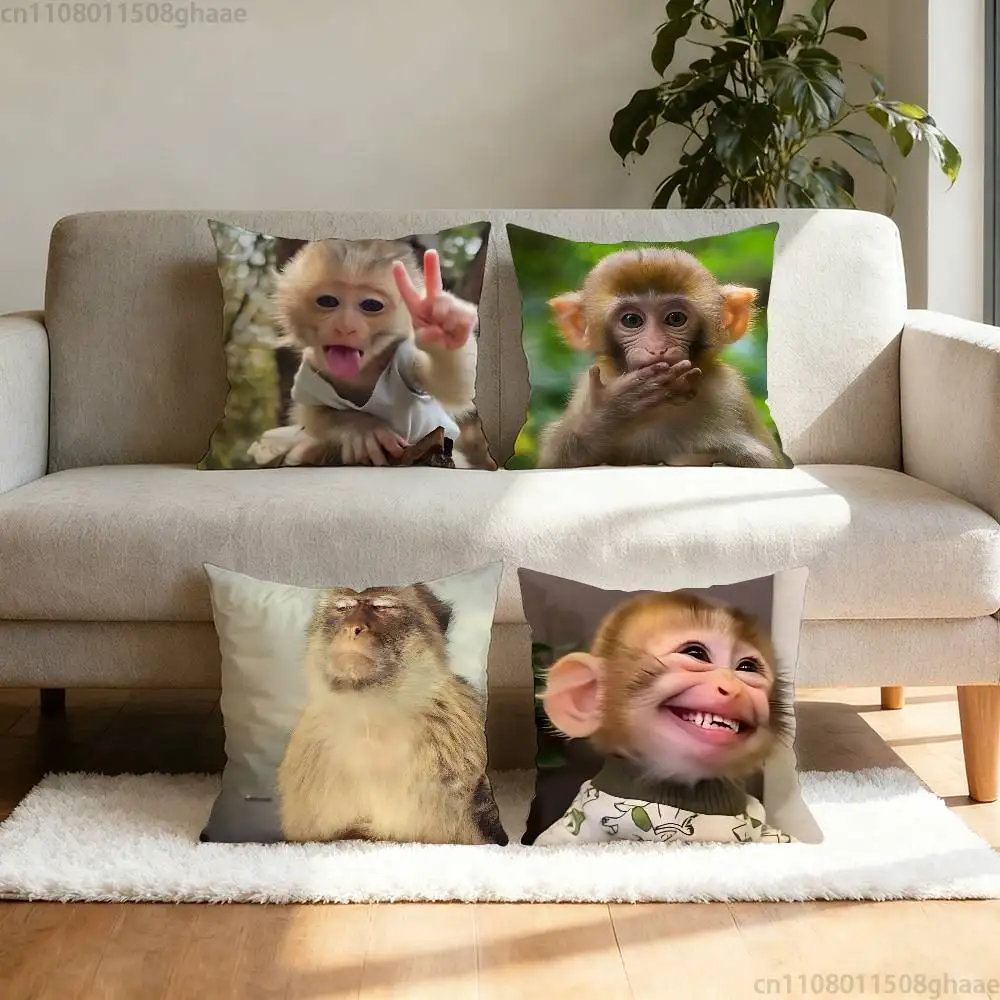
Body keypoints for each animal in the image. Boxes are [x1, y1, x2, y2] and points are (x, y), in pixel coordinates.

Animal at [248, 237, 496, 470]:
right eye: (327, 301)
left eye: (371, 305)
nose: (345, 326)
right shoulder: (310, 370)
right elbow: (313, 415)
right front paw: (363, 429)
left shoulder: (405, 358)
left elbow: (459, 387)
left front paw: (440, 320)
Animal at [535, 247, 787, 470]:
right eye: (631, 320)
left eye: (675, 318)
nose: (657, 348)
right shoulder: (586, 389)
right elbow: (555, 461)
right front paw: (612, 409)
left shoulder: (730, 393)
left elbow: (764, 461)